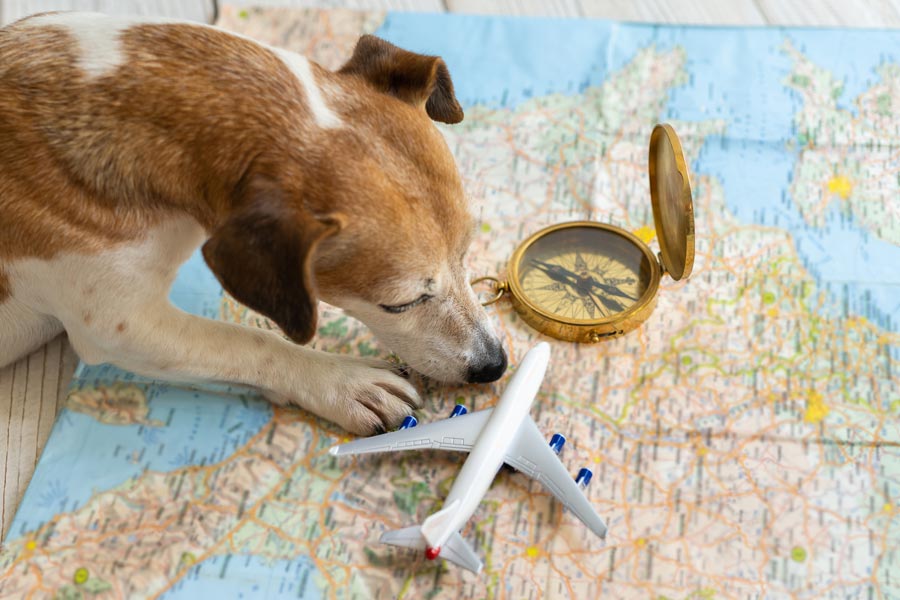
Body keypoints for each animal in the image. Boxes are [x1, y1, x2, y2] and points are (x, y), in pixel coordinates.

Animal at [0, 12, 506, 436]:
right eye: (401, 304)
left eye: (466, 255)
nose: (495, 365)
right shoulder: (119, 324)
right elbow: (251, 342)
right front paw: (341, 381)